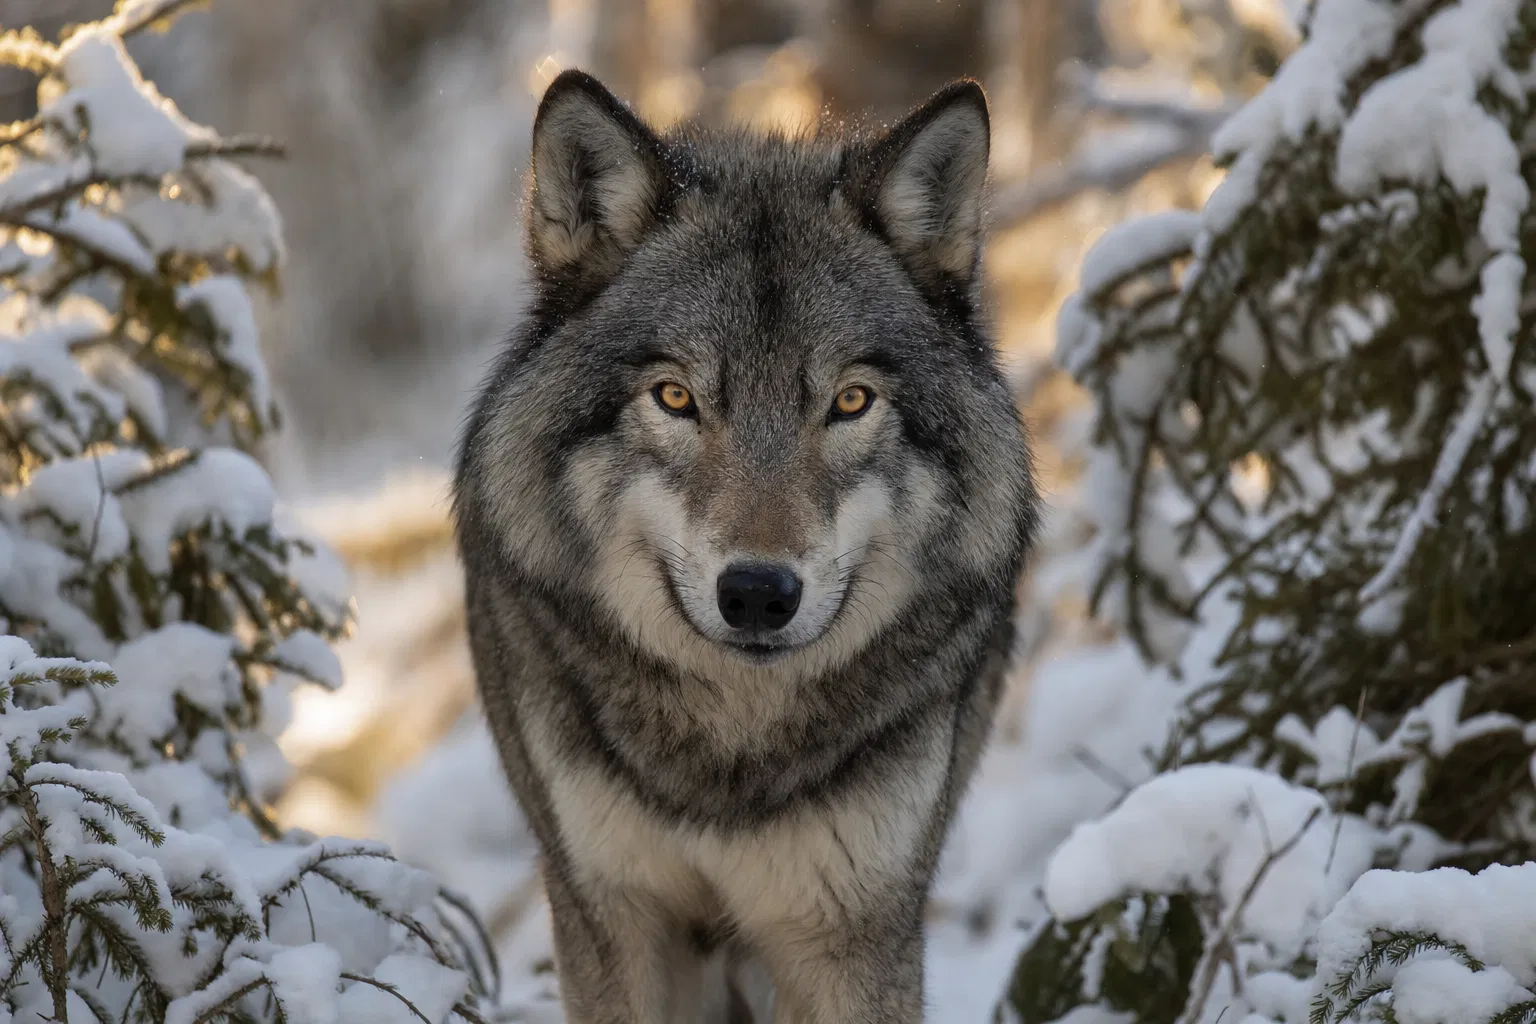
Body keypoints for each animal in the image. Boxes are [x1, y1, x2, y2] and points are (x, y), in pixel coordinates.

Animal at [452, 68, 1039, 1023]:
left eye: (849, 402)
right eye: (676, 397)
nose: (759, 593)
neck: (728, 748)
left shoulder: (854, 933)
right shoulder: (609, 916)